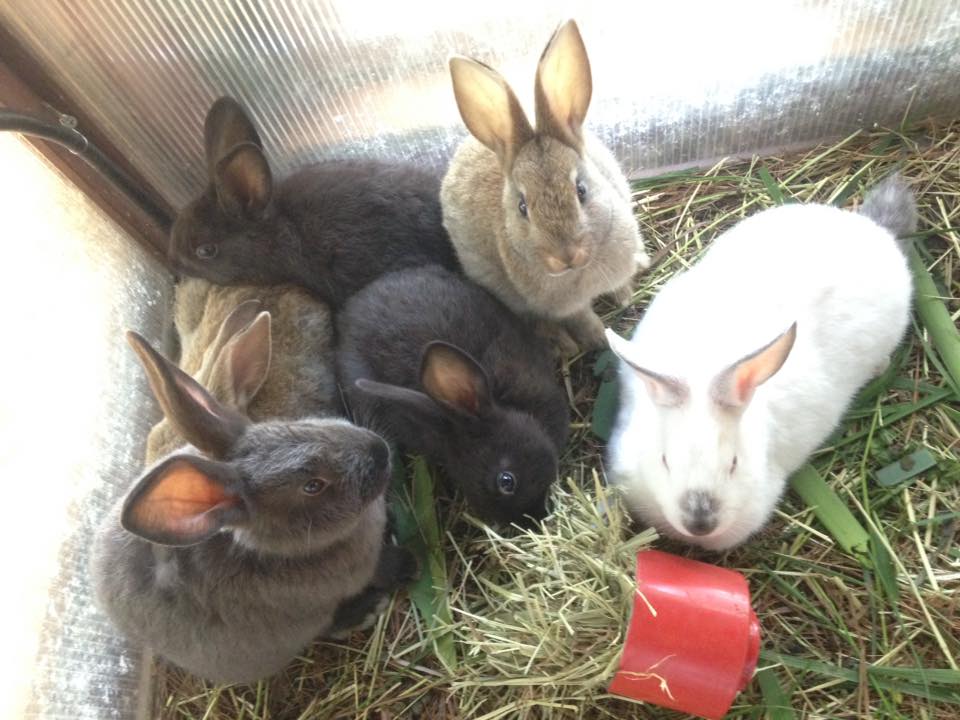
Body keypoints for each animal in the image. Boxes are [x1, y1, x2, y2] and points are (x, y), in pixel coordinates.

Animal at [440, 19, 650, 353]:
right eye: (522, 207)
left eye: (581, 190)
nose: (565, 256)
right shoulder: (565, 308)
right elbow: (583, 319)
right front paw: (597, 339)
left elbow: (620, 283)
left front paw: (625, 298)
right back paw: (564, 345)